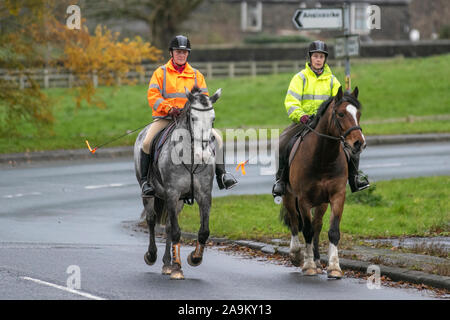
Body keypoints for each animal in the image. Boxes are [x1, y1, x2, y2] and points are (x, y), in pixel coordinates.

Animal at [134, 86, 221, 278]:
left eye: (212, 119)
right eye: (193, 118)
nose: (203, 155)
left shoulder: (204, 194)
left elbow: (204, 232)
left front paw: (194, 258)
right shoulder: (172, 193)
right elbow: (176, 231)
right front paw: (177, 268)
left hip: (179, 201)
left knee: (167, 226)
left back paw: (167, 262)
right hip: (151, 195)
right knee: (151, 220)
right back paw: (152, 256)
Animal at [282, 86, 366, 278]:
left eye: (358, 113)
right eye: (341, 114)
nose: (359, 143)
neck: (323, 157)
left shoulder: (337, 196)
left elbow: (332, 231)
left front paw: (334, 267)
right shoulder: (303, 200)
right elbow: (306, 230)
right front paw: (307, 265)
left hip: (321, 202)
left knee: (317, 225)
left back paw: (318, 260)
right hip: (289, 197)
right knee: (294, 222)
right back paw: (296, 254)